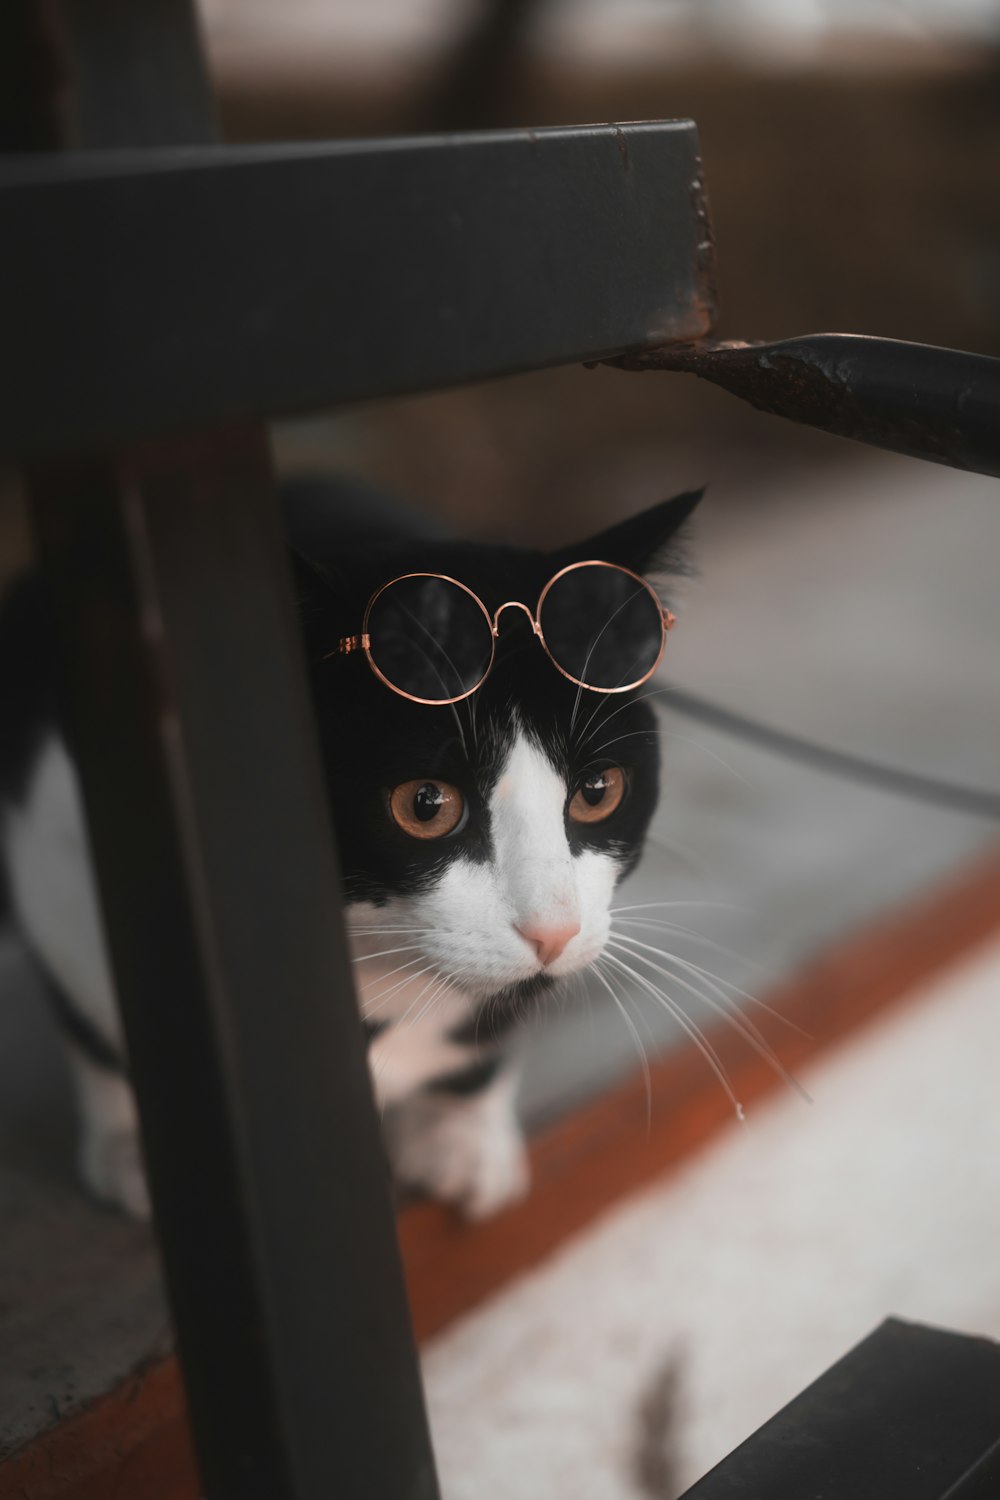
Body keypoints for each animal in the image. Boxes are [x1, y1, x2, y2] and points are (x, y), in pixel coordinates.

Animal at [0, 477, 701, 1218]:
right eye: (425, 804)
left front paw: (460, 1137)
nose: (553, 932)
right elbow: (94, 1028)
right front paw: (142, 1151)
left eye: (597, 790)